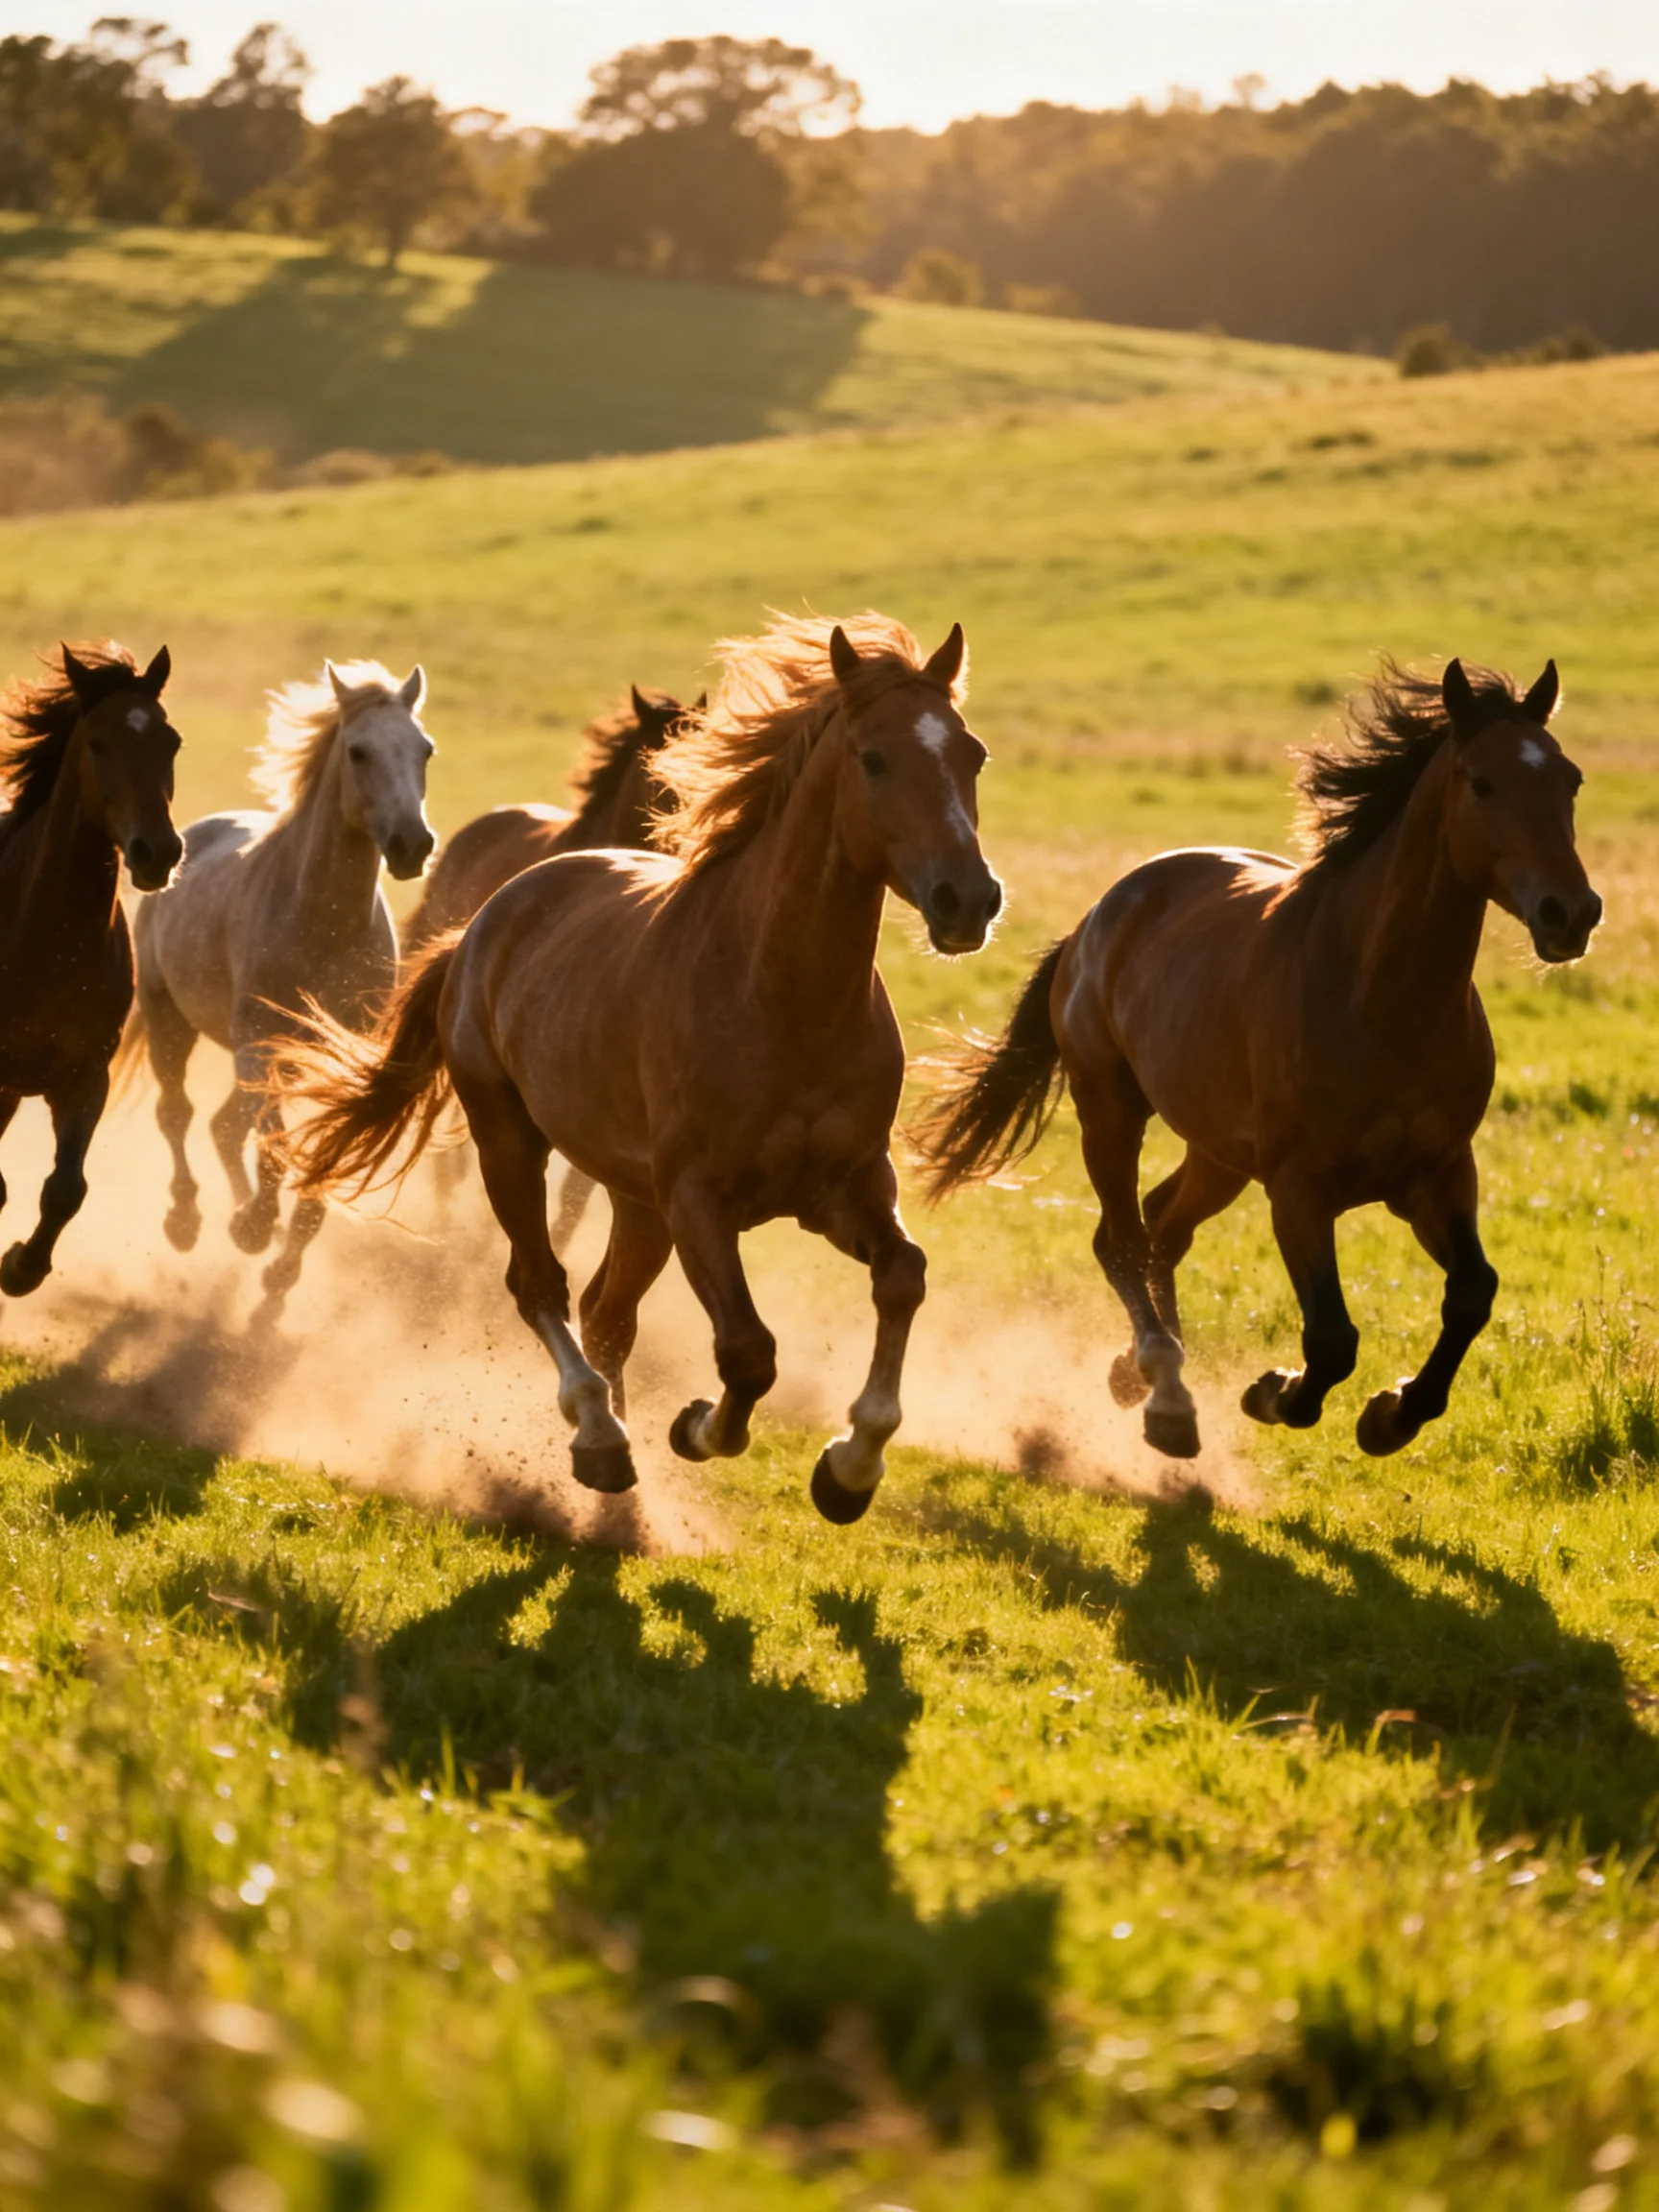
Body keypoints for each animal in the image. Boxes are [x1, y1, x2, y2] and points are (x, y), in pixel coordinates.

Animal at [0, 641, 183, 1296]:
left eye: (171, 741)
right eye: (98, 742)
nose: (158, 852)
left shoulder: (84, 1078)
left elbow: (65, 1190)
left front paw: (20, 1268)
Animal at [129, 658, 437, 1306]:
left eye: (424, 749)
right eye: (358, 752)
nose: (413, 845)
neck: (322, 920)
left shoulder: (341, 1062)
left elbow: (319, 1156)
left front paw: (279, 1262)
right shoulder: (260, 1043)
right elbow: (271, 1146)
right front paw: (252, 1229)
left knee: (224, 1125)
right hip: (172, 1020)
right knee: (180, 1115)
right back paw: (188, 1220)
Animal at [921, 657, 1601, 1463]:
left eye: (1570, 779)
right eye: (1483, 782)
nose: (1571, 913)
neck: (1381, 998)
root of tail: (1097, 917)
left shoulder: (1437, 1174)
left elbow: (1472, 1293)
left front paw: (1392, 1415)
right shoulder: (1299, 1189)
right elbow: (1332, 1337)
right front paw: (1275, 1394)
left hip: (1220, 1153)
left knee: (1162, 1229)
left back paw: (1133, 1373)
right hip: (1111, 1111)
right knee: (1122, 1241)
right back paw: (1167, 1402)